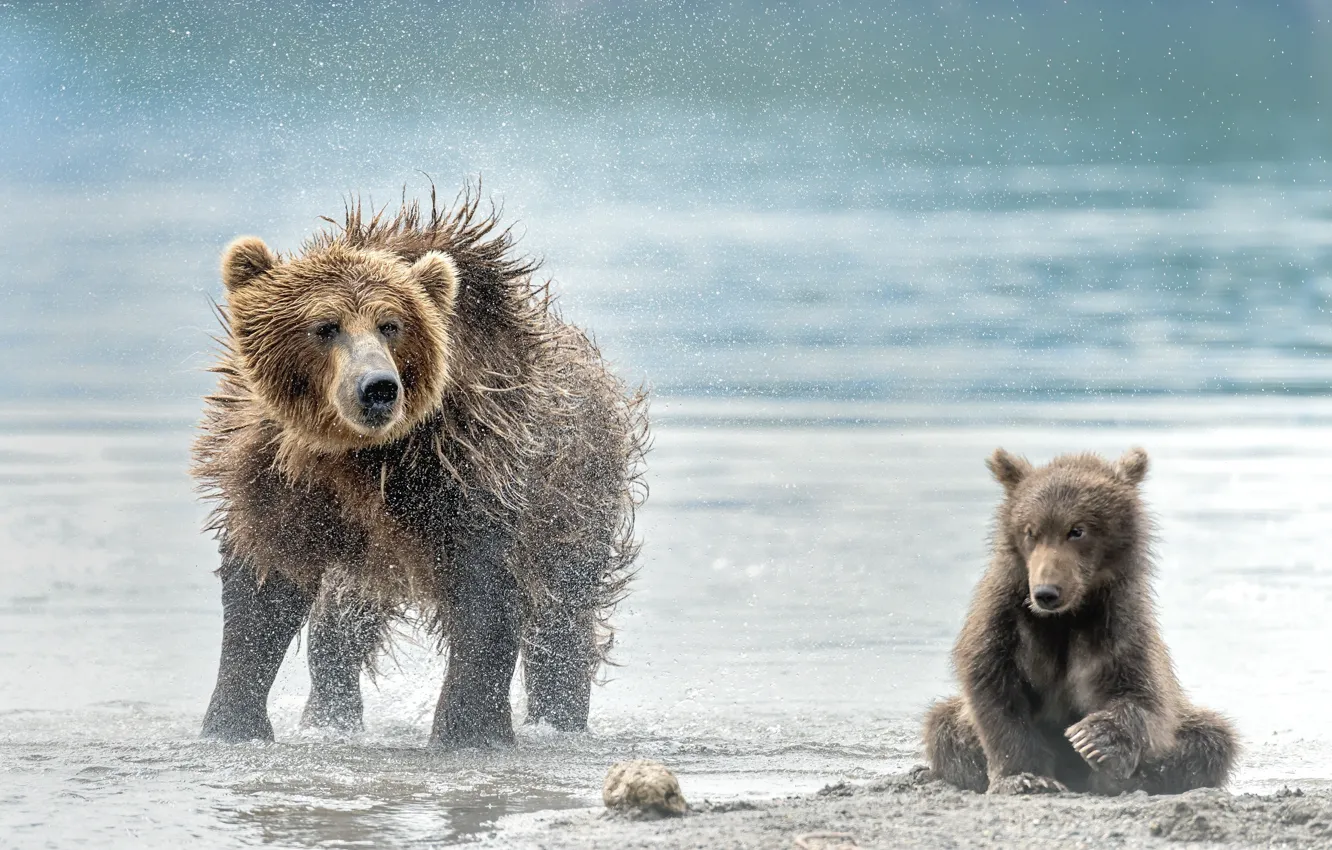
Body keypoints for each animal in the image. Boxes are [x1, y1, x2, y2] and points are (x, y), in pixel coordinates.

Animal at [194, 189, 647, 751]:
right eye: (325, 327)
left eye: (391, 324)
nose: (377, 387)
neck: (362, 456)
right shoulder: (280, 476)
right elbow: (264, 586)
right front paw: (231, 723)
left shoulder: (474, 467)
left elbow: (487, 596)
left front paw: (468, 729)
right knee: (340, 626)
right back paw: (330, 717)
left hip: (574, 500)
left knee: (560, 619)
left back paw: (558, 716)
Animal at [927, 450, 1236, 794]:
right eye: (1030, 531)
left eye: (1077, 530)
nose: (1046, 592)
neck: (1065, 617)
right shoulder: (1005, 619)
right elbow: (993, 687)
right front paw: (1025, 777)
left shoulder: (1119, 623)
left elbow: (1145, 693)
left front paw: (1095, 739)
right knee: (942, 728)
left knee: (1212, 737)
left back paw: (1127, 777)